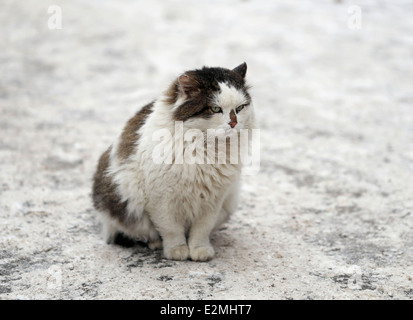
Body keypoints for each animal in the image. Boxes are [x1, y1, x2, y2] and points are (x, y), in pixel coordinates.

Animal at [91, 62, 256, 260]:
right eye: (215, 109)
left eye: (240, 108)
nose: (233, 123)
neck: (205, 150)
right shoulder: (160, 200)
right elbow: (171, 230)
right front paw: (177, 252)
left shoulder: (213, 201)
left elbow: (201, 230)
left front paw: (200, 251)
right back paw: (154, 244)